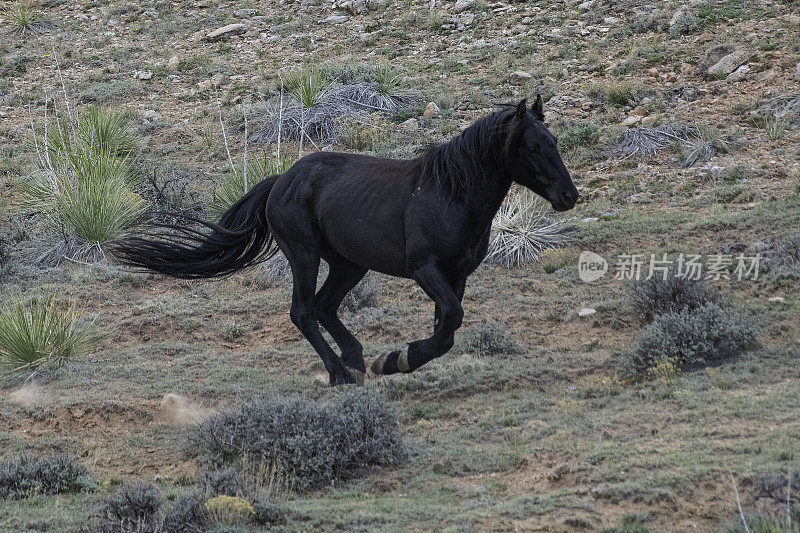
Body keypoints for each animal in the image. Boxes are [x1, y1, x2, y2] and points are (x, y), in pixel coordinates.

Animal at [111, 96, 576, 382]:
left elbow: (448, 328)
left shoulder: (457, 274)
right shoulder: (424, 269)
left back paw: (355, 362)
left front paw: (395, 359)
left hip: (348, 264)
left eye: (553, 140)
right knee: (303, 311)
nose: (569, 196)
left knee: (324, 307)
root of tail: (281, 181)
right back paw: (340, 373)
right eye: (533, 146)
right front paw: (396, 359)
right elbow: (450, 319)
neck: (450, 193)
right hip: (304, 255)